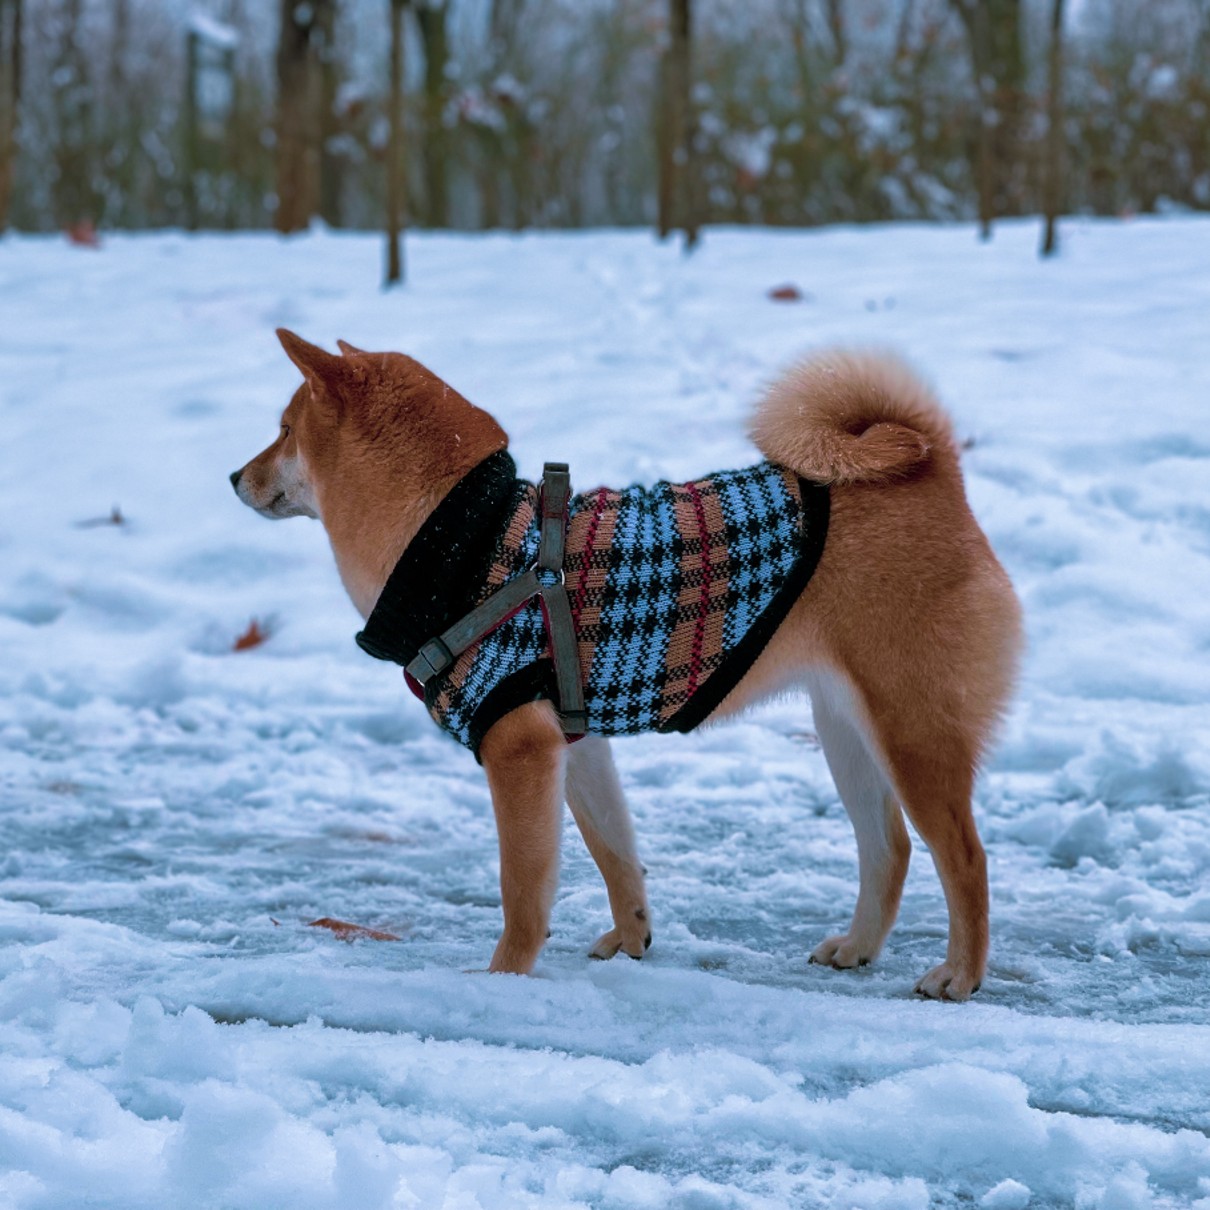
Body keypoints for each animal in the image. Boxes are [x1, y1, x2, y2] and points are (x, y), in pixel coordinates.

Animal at [228, 331, 1021, 1001]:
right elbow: (615, 854)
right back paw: (858, 946)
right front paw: (633, 936)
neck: (465, 543)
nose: (235, 475)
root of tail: (934, 473)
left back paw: (961, 973)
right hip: (847, 733)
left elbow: (523, 890)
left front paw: (503, 978)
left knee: (965, 859)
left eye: (285, 429)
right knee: (889, 849)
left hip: (912, 733)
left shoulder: (520, 749)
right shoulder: (575, 743)